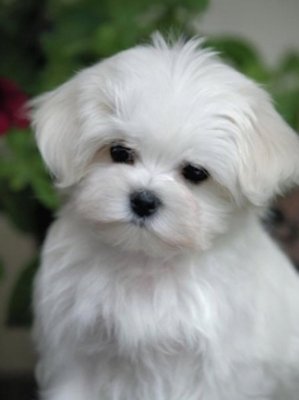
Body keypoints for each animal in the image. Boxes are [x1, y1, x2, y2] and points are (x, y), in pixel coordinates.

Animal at [31, 35, 299, 400]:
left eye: (195, 173)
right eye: (119, 151)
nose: (144, 200)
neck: (147, 261)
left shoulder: (217, 370)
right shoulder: (74, 349)